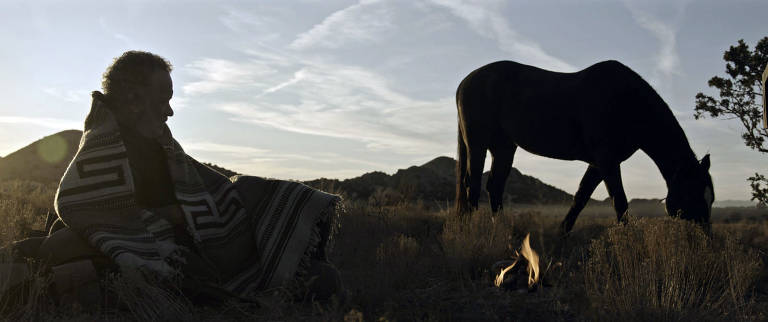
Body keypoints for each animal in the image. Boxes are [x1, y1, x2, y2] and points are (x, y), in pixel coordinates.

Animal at [456, 59, 712, 231]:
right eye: (692, 192)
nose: (706, 238)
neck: (628, 102)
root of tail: (465, 82)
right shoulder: (607, 161)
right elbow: (620, 202)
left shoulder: (599, 164)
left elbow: (580, 199)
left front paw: (562, 234)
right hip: (478, 144)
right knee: (473, 184)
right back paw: (473, 229)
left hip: (504, 148)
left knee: (494, 186)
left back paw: (500, 229)